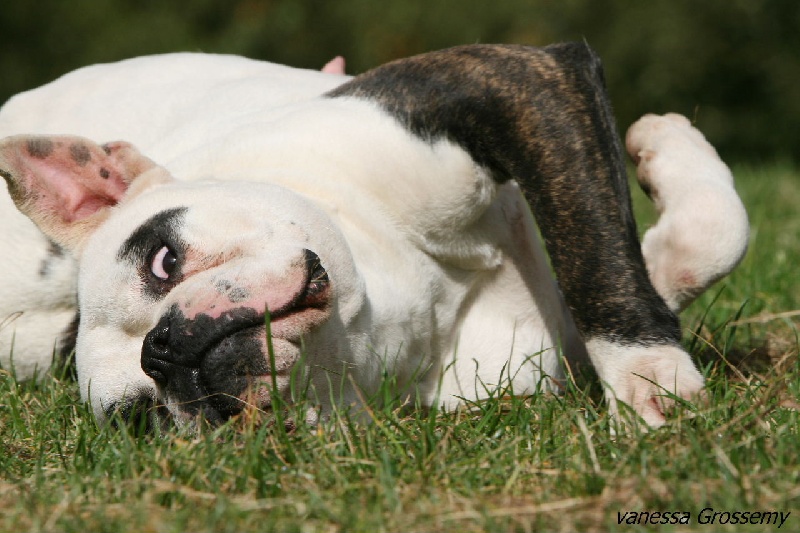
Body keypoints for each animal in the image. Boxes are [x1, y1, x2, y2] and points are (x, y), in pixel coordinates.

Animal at [1, 43, 752, 430]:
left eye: (161, 258)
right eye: (144, 417)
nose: (165, 349)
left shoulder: (515, 87)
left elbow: (622, 250)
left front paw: (650, 375)